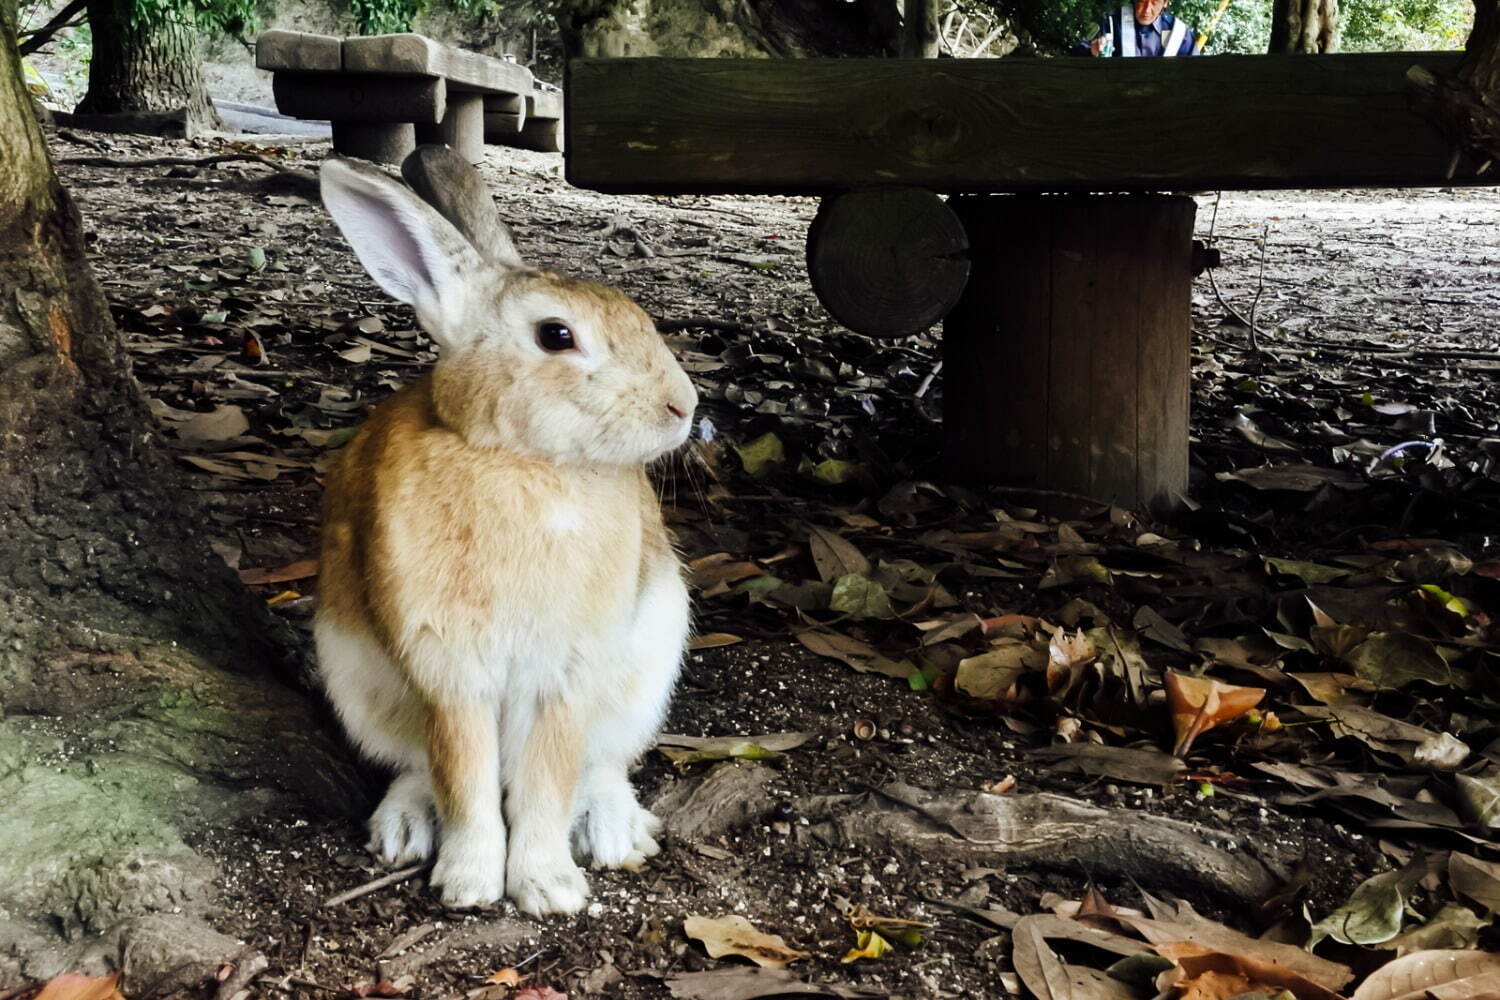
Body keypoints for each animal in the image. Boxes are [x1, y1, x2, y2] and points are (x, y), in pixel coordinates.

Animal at [315, 144, 696, 917]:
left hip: (648, 668)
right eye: (556, 335)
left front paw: (548, 889)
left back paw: (615, 832)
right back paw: (403, 830)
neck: (518, 459)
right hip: (354, 679)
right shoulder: (449, 672)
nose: (685, 405)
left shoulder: (564, 677)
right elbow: (463, 778)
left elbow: (548, 782)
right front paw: (470, 884)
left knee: (602, 764)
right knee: (413, 765)